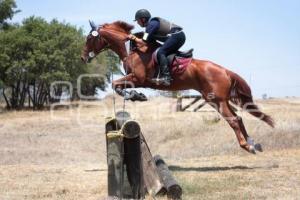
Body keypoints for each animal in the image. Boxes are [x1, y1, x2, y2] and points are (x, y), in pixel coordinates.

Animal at [80, 20, 274, 154]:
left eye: (89, 38)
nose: (83, 58)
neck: (131, 49)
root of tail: (225, 71)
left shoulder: (138, 78)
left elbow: (116, 84)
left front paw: (135, 95)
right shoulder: (135, 79)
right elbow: (116, 85)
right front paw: (137, 95)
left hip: (216, 100)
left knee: (233, 119)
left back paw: (247, 146)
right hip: (217, 100)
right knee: (238, 118)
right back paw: (253, 142)